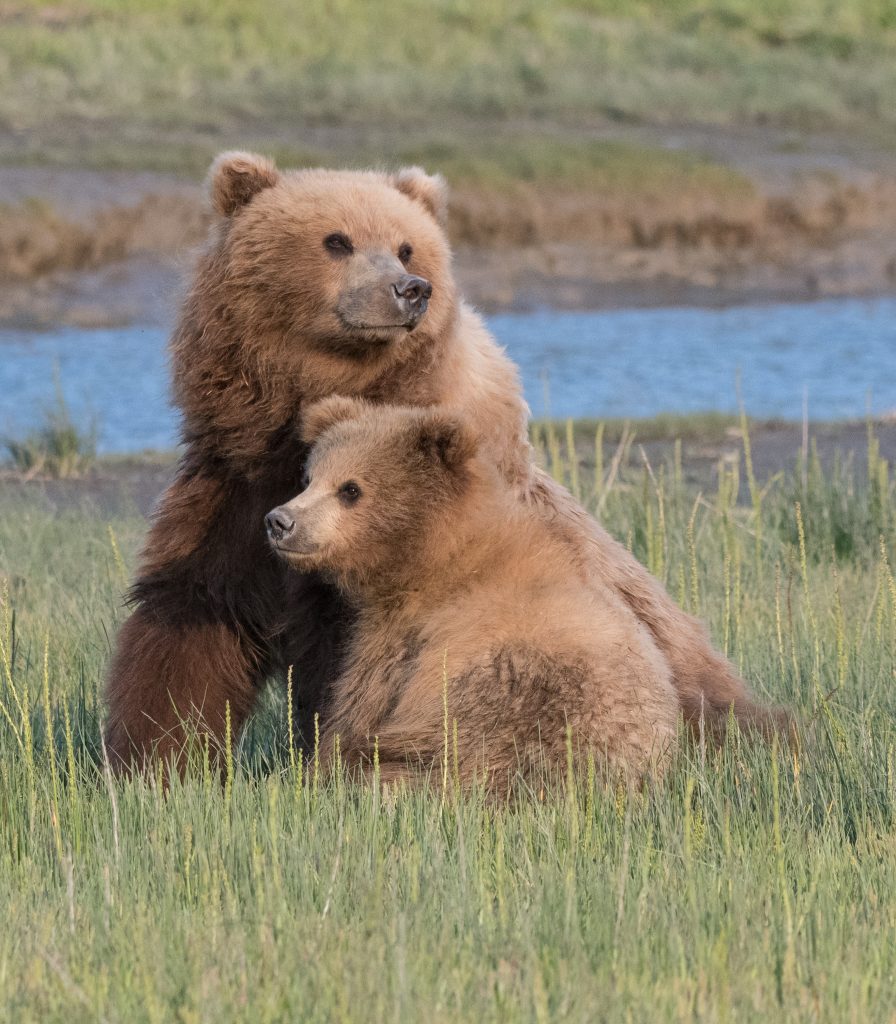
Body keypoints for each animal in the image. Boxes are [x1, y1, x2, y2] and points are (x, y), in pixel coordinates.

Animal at [266, 395, 679, 786]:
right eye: (309, 478)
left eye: (350, 489)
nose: (280, 521)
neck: (435, 555)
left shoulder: (406, 637)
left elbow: (357, 706)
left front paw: (317, 763)